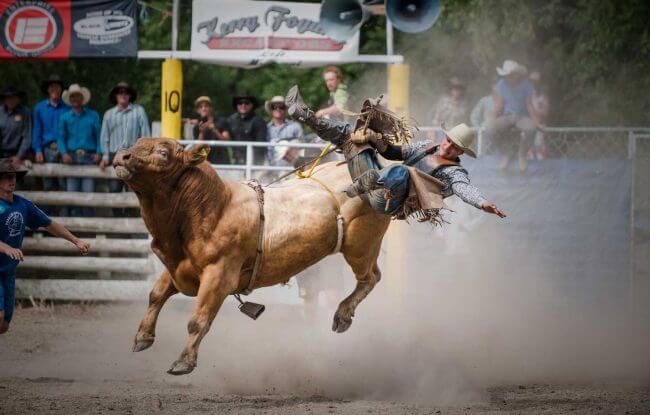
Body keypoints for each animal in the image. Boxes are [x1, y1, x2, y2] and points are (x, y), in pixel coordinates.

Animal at [112, 138, 390, 376]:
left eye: (163, 152)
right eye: (137, 143)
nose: (121, 156)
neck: (210, 208)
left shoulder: (219, 276)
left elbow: (198, 320)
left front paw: (183, 362)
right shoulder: (177, 267)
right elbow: (156, 295)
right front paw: (142, 337)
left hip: (361, 245)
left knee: (371, 277)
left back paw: (342, 315)